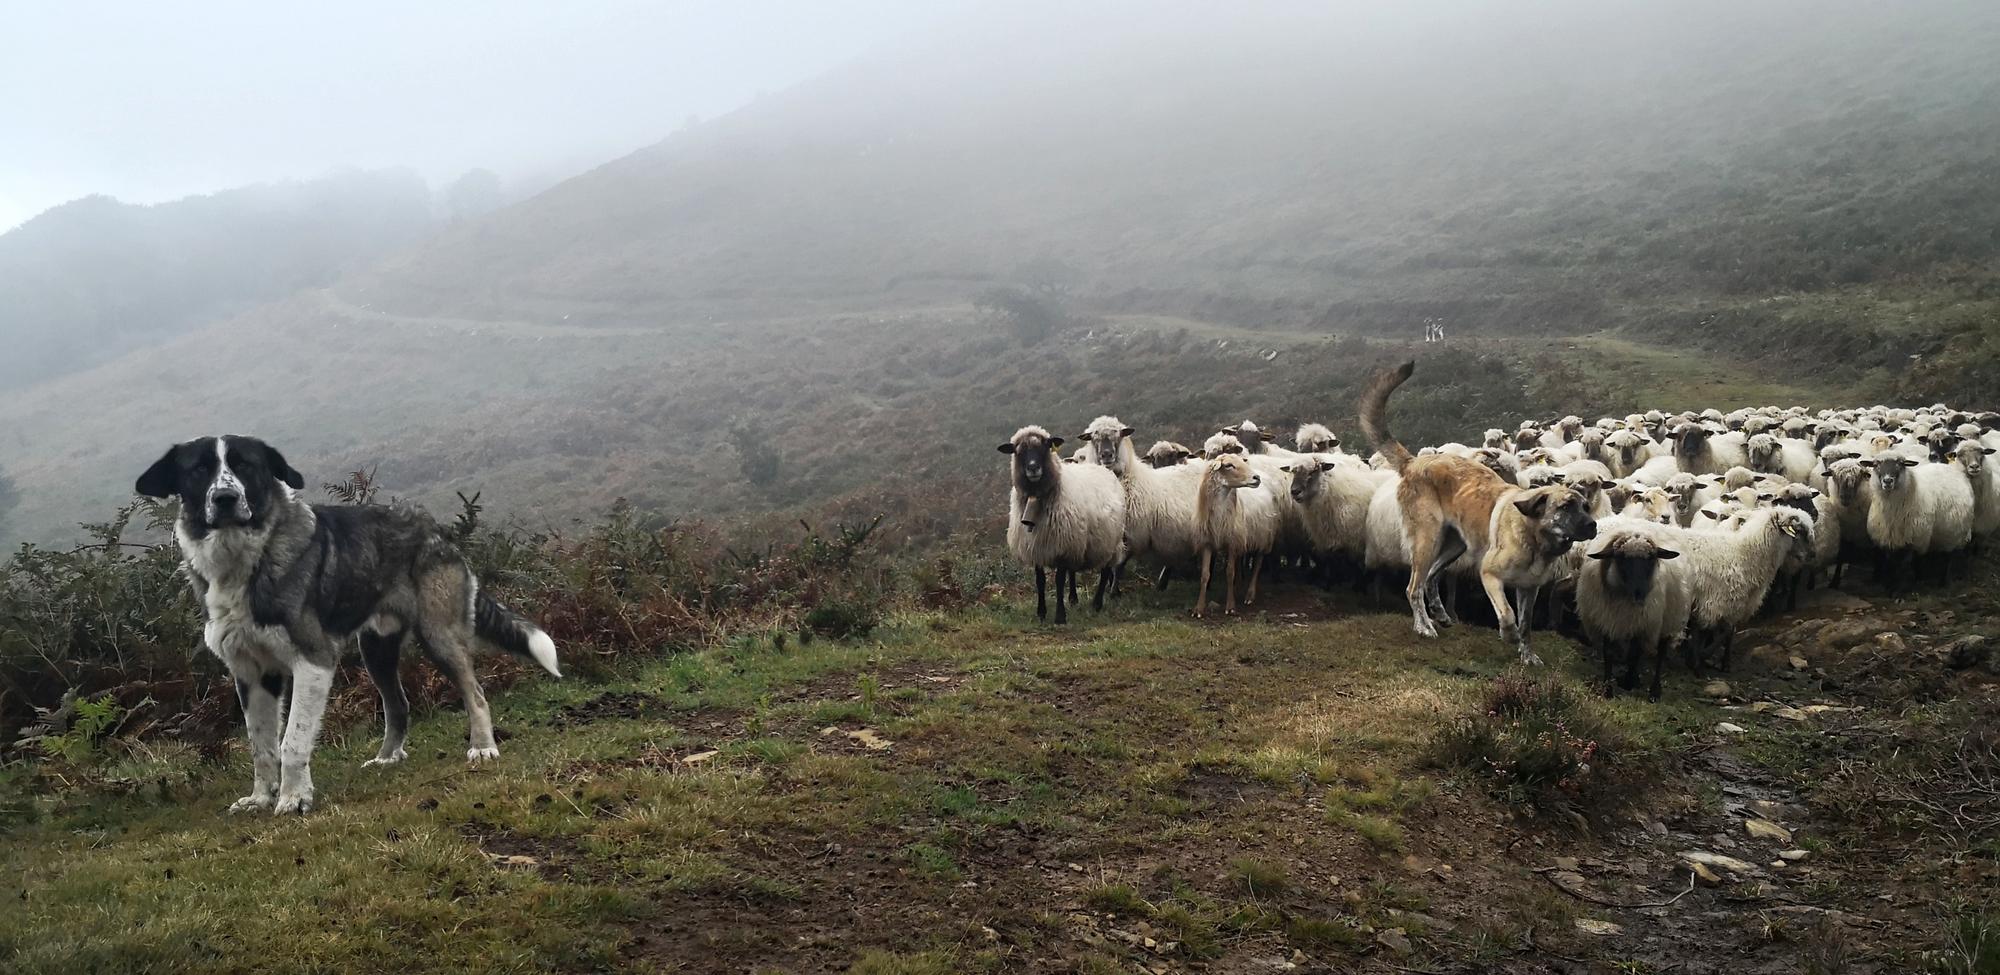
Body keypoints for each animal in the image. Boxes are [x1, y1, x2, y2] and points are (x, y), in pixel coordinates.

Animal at [138, 435, 564, 815]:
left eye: (245, 466)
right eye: (199, 470)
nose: (225, 498)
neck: (246, 559)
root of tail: (432, 526)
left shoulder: (314, 660)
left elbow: (292, 741)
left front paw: (294, 799)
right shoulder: (252, 673)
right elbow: (261, 746)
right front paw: (260, 798)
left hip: (438, 635)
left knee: (474, 691)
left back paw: (483, 746)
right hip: (376, 650)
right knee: (399, 704)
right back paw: (387, 758)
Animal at [1000, 427, 1128, 623]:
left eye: (1046, 446)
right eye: (1017, 451)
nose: (1033, 468)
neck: (1036, 497)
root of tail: (1103, 469)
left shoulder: (1061, 546)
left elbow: (1059, 580)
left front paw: (1060, 616)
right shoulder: (1037, 545)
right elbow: (1040, 581)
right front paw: (1041, 613)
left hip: (1110, 540)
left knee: (1106, 570)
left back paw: (1097, 604)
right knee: (1074, 571)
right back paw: (1074, 599)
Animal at [1200, 453, 1280, 611]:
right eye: (1228, 465)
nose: (1256, 478)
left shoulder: (1232, 543)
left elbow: (1230, 572)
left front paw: (1230, 606)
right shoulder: (1208, 542)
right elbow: (1205, 574)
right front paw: (1198, 609)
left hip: (1264, 537)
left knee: (1257, 565)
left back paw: (1249, 595)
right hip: (1242, 538)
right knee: (1239, 561)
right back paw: (1237, 588)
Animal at [1576, 527, 1688, 695]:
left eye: (1651, 558)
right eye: (1621, 558)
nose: (1639, 593)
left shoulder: (1641, 624)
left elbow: (1634, 654)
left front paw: (1628, 682)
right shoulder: (1607, 619)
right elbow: (1609, 652)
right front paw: (1607, 688)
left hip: (1669, 617)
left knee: (1661, 651)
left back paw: (1654, 690)